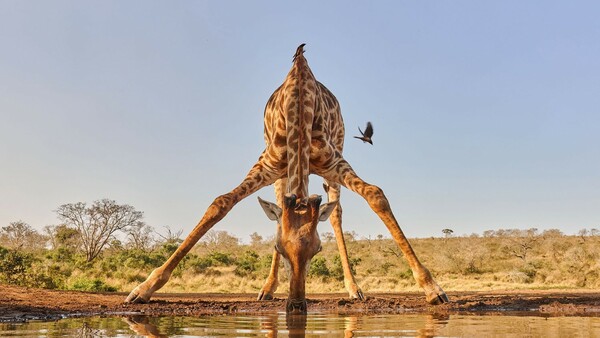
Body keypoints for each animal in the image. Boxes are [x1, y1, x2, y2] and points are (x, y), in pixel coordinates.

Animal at [124, 44, 448, 312]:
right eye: (280, 247)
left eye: (318, 249)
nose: (296, 305)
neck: (299, 104)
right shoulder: (266, 165)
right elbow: (221, 203)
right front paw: (143, 288)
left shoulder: (333, 161)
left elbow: (375, 194)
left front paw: (432, 288)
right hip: (281, 175)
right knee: (279, 206)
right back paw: (267, 289)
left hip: (334, 158)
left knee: (336, 213)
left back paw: (353, 288)